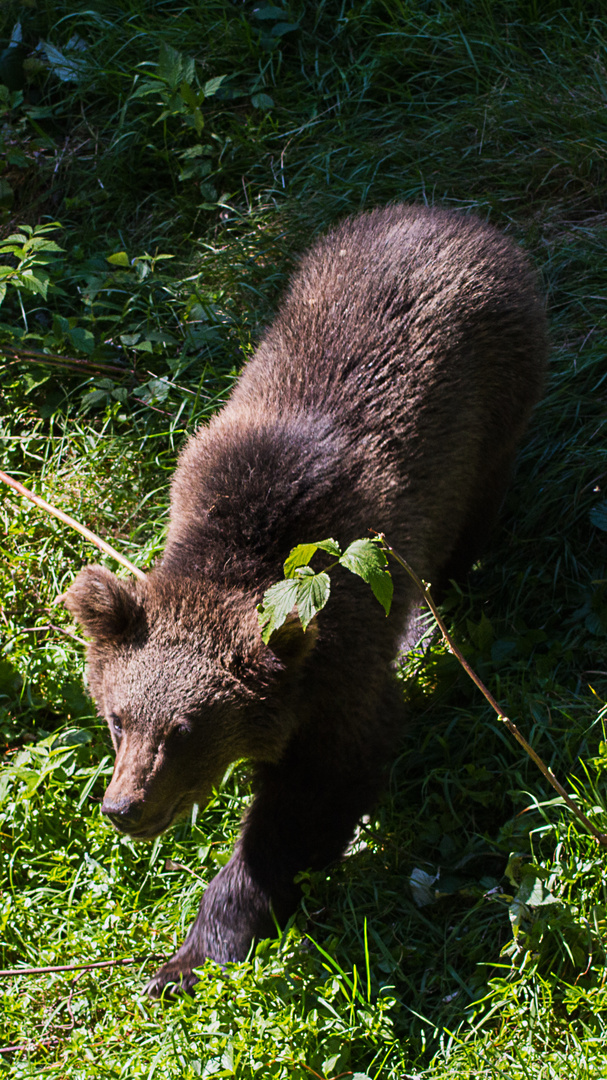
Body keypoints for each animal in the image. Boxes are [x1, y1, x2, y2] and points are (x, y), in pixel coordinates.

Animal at [63, 203, 546, 993]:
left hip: (495, 411)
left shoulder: (338, 661)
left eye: (186, 729)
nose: (124, 806)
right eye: (115, 718)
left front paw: (197, 950)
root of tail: (448, 214)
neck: (239, 549)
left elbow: (312, 794)